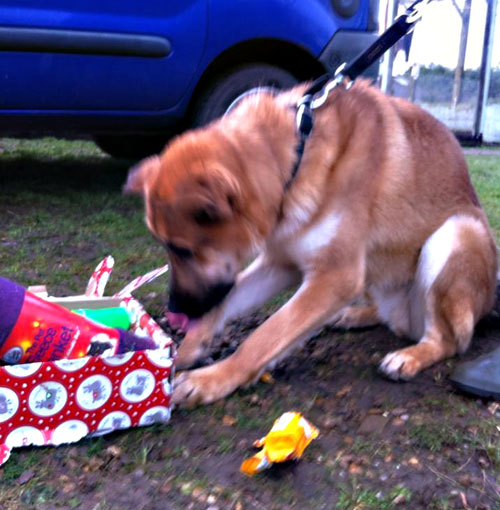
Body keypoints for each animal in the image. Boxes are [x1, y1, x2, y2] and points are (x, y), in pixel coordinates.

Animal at [125, 79, 496, 406]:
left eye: (182, 249)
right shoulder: (280, 264)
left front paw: (213, 379)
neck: (293, 159)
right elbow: (228, 301)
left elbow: (266, 334)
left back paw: (411, 356)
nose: (174, 310)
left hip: (457, 233)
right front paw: (191, 346)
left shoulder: (335, 276)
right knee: (389, 316)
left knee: (448, 341)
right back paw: (353, 315)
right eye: (166, 246)